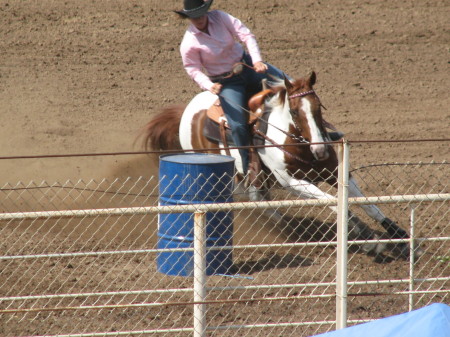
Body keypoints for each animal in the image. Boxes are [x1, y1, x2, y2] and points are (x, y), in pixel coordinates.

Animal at [143, 72, 418, 258]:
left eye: (319, 107)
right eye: (295, 112)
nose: (320, 149)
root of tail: (189, 109)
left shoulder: (337, 172)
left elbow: (367, 203)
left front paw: (398, 234)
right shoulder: (293, 183)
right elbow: (333, 203)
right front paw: (369, 238)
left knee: (258, 199)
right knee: (253, 200)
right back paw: (288, 227)